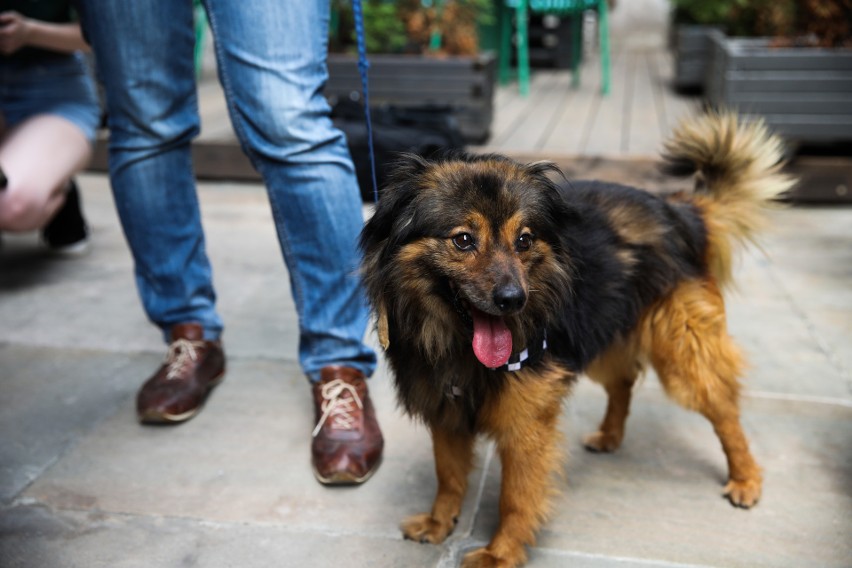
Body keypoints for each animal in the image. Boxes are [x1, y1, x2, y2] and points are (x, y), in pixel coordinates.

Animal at [358, 112, 792, 568]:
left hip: (683, 353)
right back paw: (610, 435)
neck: (458, 343)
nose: (513, 299)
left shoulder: (527, 422)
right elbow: (448, 476)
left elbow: (516, 497)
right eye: (462, 239)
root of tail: (680, 211)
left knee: (723, 409)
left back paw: (745, 478)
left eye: (524, 239)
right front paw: (439, 523)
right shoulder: (446, 408)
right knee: (623, 382)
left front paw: (500, 554)